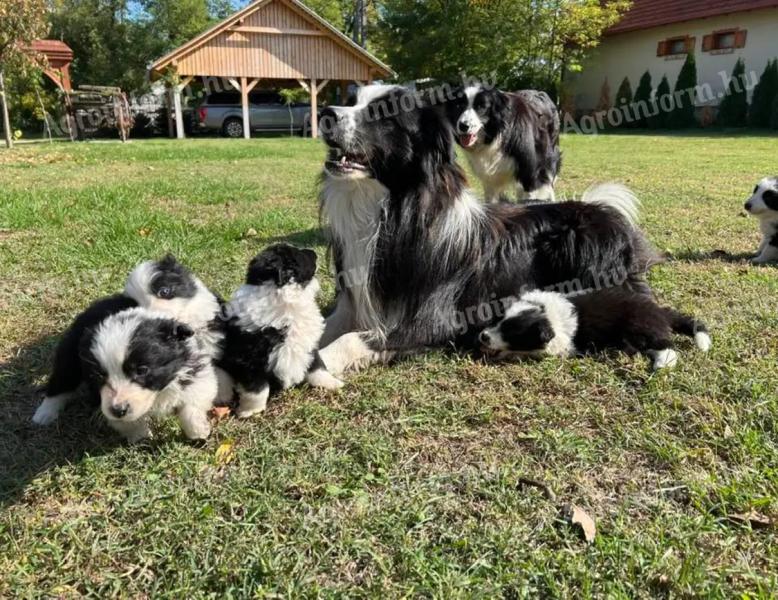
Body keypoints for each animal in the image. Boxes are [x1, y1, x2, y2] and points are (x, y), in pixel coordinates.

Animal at [81, 310, 217, 440]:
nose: (118, 411)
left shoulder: (195, 370)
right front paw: (141, 437)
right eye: (98, 376)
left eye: (141, 371)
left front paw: (198, 432)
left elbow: (192, 403)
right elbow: (129, 423)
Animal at [217, 243, 342, 418]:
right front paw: (250, 411)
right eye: (299, 255)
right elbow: (258, 390)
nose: (314, 252)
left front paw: (333, 384)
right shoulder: (250, 362)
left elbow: (318, 368)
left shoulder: (309, 346)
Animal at [314, 84, 656, 376]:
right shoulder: (354, 303)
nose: (325, 114)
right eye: (351, 101)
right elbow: (321, 326)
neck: (392, 210)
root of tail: (606, 213)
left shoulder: (434, 319)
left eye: (384, 114)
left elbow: (349, 340)